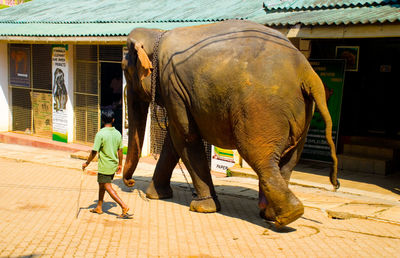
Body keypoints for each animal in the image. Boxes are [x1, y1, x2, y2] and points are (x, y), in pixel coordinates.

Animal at [122, 19, 340, 227]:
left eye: (125, 69)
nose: (130, 183)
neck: (158, 34)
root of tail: (307, 72)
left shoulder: (173, 87)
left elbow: (184, 137)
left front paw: (203, 208)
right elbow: (174, 140)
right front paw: (156, 195)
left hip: (260, 110)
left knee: (259, 156)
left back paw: (287, 216)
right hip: (302, 115)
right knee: (289, 160)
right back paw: (272, 214)